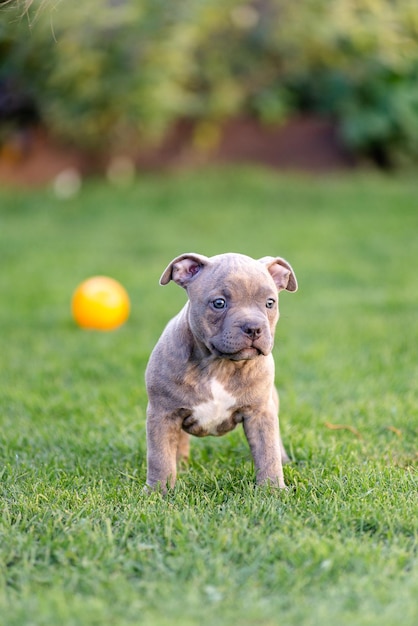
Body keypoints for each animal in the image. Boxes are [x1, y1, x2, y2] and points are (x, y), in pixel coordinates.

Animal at [145, 251, 298, 490]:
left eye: (270, 303)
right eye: (219, 303)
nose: (254, 328)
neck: (219, 364)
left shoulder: (260, 414)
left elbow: (268, 453)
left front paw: (272, 490)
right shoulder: (162, 414)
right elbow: (160, 457)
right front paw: (158, 491)